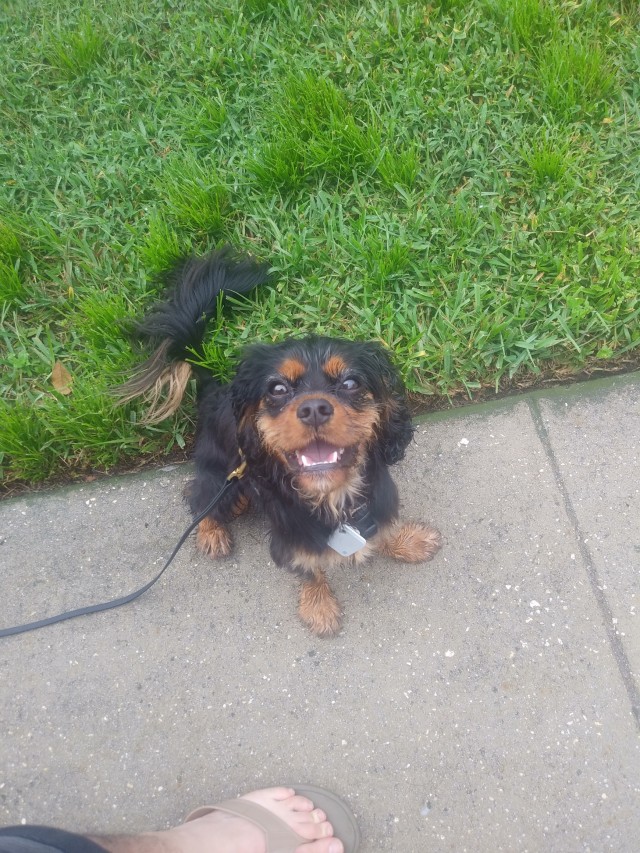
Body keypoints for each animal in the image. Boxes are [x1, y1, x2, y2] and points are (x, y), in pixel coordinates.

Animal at [119, 246, 440, 632]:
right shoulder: (290, 540)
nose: (314, 408)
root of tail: (213, 386)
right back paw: (211, 533)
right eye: (277, 389)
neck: (333, 497)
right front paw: (319, 607)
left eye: (350, 383)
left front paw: (409, 541)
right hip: (227, 480)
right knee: (200, 498)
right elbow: (310, 569)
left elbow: (386, 528)